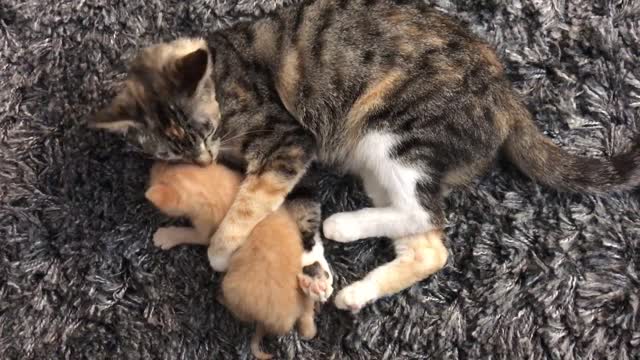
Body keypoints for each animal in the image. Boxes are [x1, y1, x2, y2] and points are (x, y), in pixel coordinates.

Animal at [91, 0, 640, 312]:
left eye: (205, 128)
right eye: (172, 148)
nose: (205, 160)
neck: (220, 77)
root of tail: (506, 92)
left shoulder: (290, 140)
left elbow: (248, 207)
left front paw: (222, 250)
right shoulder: (295, 164)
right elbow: (296, 212)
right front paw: (315, 271)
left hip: (392, 134)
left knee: (425, 215)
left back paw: (345, 225)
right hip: (378, 160)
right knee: (430, 247)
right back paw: (354, 292)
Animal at [142, 162, 318, 358]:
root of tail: (280, 324)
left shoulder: (206, 231)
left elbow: (189, 234)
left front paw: (166, 236)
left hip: (232, 286)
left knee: (242, 315)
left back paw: (220, 298)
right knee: (309, 326)